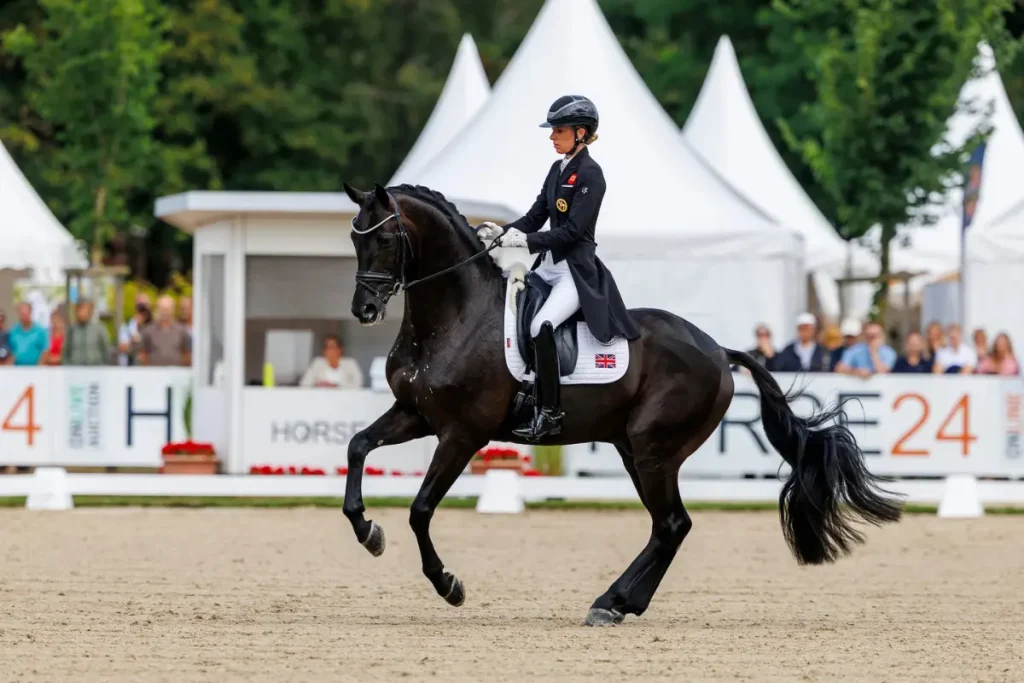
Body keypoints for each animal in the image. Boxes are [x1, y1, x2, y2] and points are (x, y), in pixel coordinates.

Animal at [340, 181, 904, 626]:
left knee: (671, 524)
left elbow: (420, 509)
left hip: (653, 449)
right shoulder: (415, 415)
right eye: (353, 237)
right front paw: (368, 532)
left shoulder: (462, 434)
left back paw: (611, 602)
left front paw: (448, 584)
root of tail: (717, 350)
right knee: (671, 525)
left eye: (385, 238)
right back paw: (619, 602)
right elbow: (357, 447)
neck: (454, 316)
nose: (364, 309)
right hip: (634, 449)